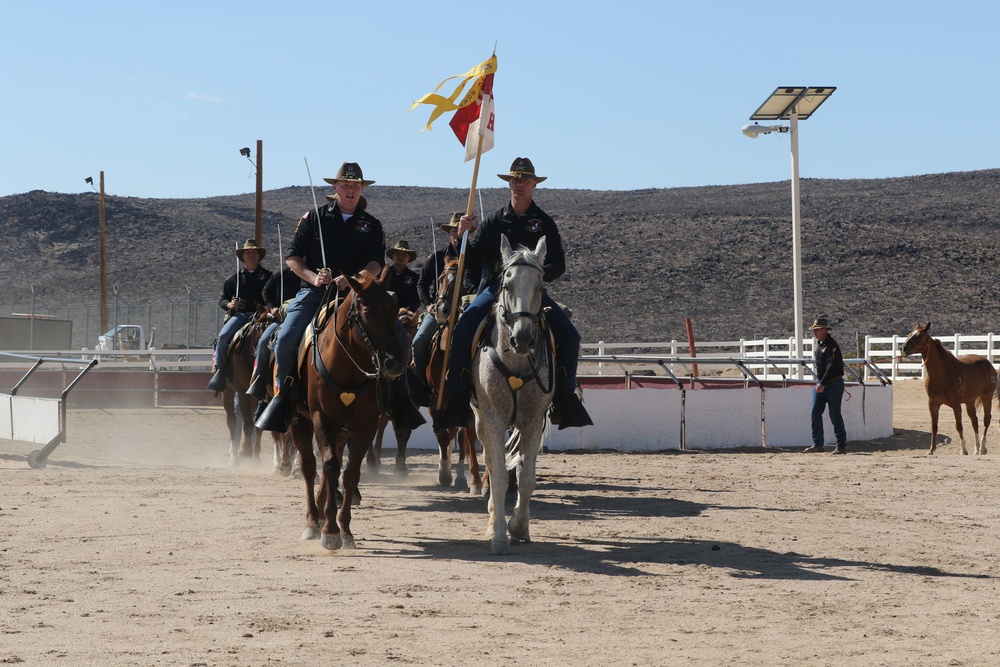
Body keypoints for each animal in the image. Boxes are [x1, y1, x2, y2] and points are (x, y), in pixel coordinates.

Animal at [288, 264, 408, 552]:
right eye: (367, 313)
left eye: (393, 308)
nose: (395, 362)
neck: (347, 366)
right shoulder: (321, 418)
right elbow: (330, 466)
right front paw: (330, 532)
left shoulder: (366, 424)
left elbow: (350, 472)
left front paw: (344, 528)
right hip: (301, 422)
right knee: (310, 466)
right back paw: (313, 521)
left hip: (342, 431)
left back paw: (321, 512)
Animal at [470, 232, 556, 556]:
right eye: (506, 285)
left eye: (540, 286)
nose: (523, 338)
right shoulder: (492, 419)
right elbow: (498, 478)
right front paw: (498, 535)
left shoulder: (533, 420)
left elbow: (526, 478)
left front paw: (519, 527)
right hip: (480, 421)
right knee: (491, 464)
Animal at [904, 322, 996, 456]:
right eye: (909, 334)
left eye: (920, 335)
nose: (904, 348)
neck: (942, 374)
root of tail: (989, 364)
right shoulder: (933, 404)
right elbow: (934, 426)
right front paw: (931, 450)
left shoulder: (956, 405)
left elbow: (959, 426)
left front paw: (963, 450)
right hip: (970, 401)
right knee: (975, 422)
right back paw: (976, 449)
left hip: (986, 398)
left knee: (986, 420)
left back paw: (982, 448)